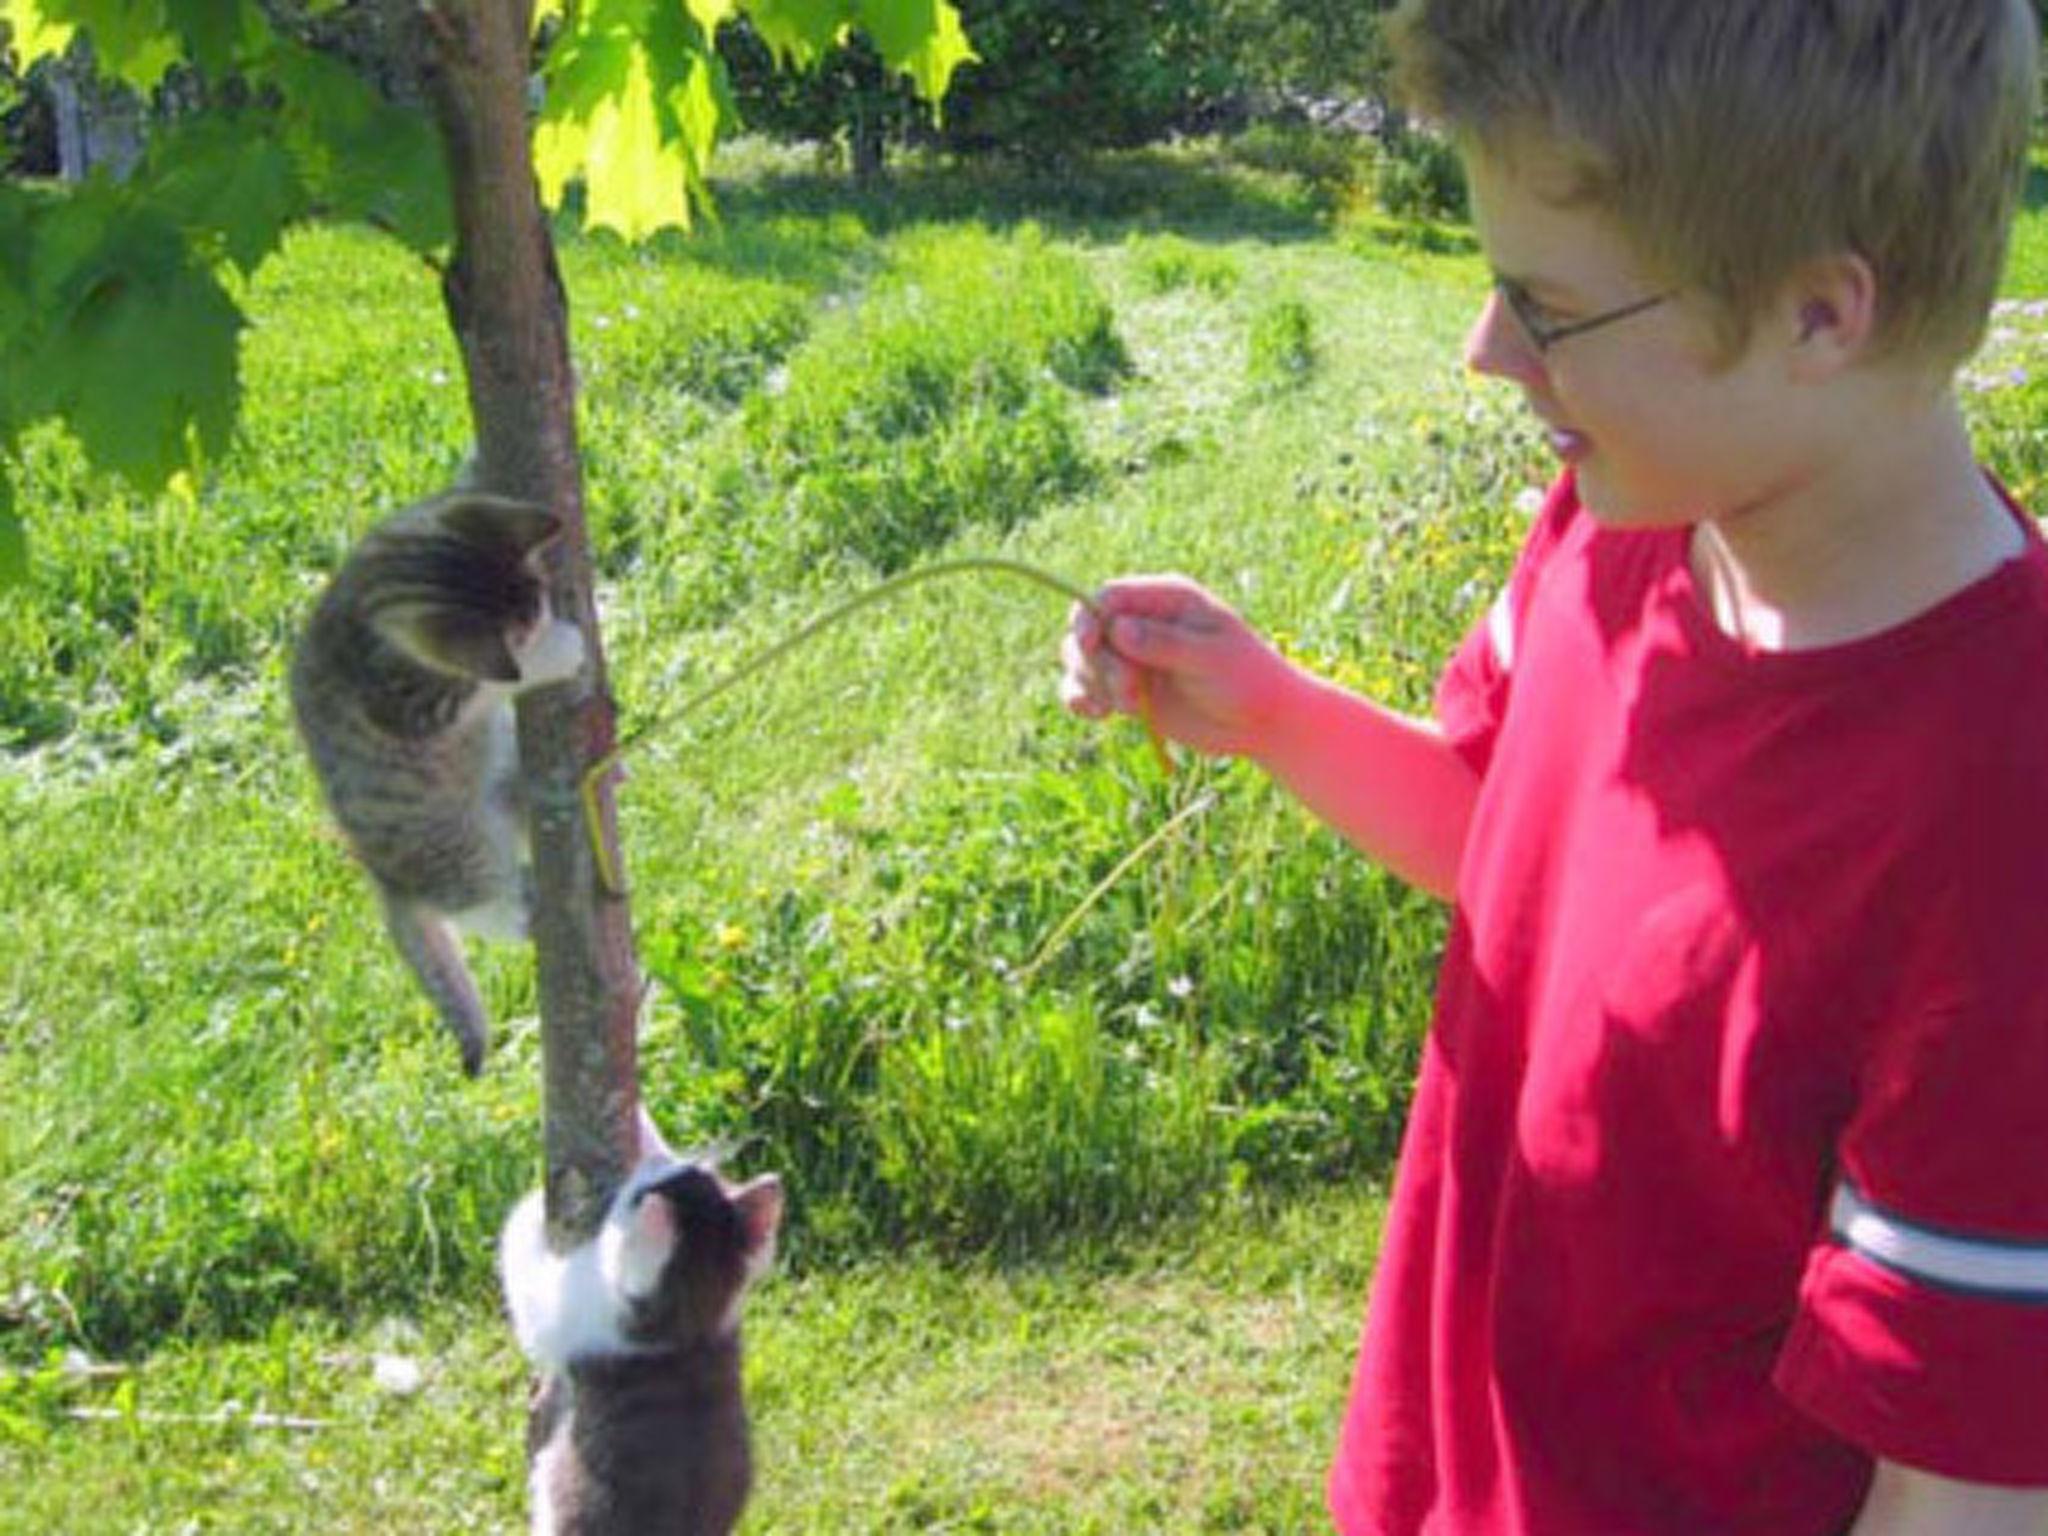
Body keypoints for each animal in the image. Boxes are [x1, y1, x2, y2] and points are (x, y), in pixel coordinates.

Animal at [286, 487, 585, 1073]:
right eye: (523, 626)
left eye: (537, 590)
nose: (542, 616)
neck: (363, 594)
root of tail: (383, 878)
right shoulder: (412, 709)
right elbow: (493, 681)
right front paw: (558, 650)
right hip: (455, 850)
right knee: (476, 902)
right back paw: (516, 908)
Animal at [501, 1122, 782, 1536]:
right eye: (677, 1168)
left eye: (633, 1197)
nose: (650, 1165)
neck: (687, 1330)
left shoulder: (576, 1314)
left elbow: (524, 1274)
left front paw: (531, 1210)